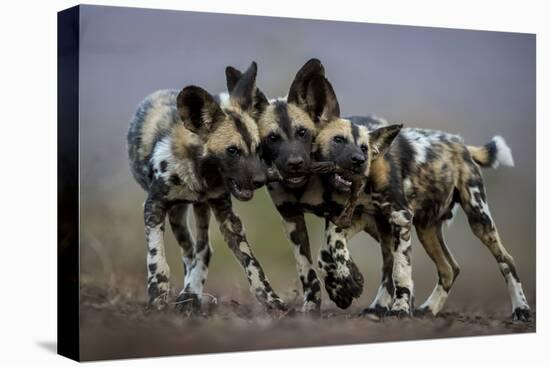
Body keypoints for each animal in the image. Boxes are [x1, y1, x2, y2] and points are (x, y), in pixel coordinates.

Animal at [126, 61, 288, 314]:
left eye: (258, 148)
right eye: (232, 151)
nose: (261, 180)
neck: (201, 177)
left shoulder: (226, 215)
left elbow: (251, 262)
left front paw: (271, 299)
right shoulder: (153, 207)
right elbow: (156, 257)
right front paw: (158, 296)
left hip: (200, 209)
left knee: (202, 250)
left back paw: (191, 293)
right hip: (178, 214)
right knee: (189, 250)